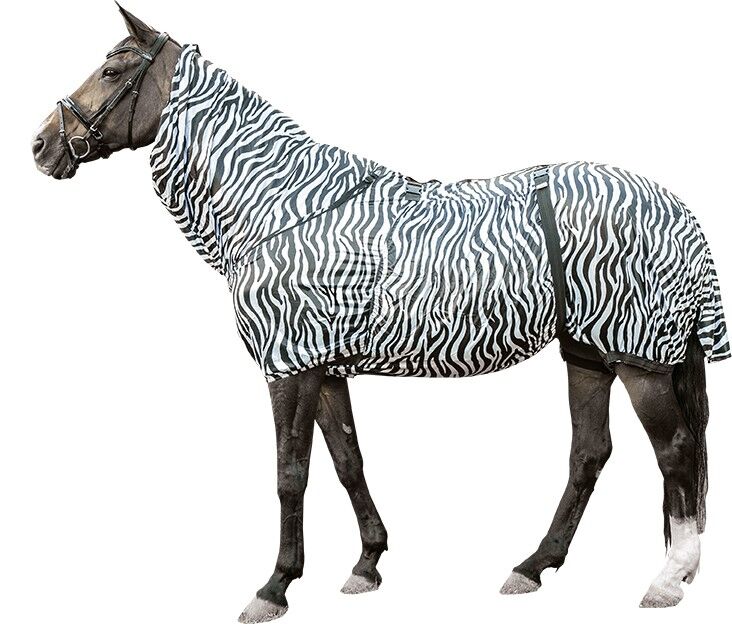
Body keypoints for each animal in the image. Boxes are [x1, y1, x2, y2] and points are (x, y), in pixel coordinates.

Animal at [31, 5, 729, 622]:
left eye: (114, 70)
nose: (41, 145)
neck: (282, 205)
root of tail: (676, 207)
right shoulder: (324, 367)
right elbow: (347, 460)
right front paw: (367, 564)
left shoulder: (288, 367)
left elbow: (290, 472)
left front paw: (274, 587)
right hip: (588, 352)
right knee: (590, 452)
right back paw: (533, 566)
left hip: (636, 359)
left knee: (674, 449)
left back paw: (669, 578)